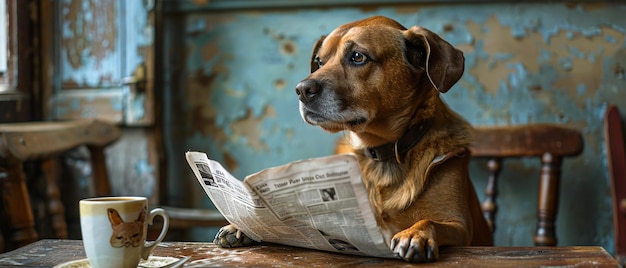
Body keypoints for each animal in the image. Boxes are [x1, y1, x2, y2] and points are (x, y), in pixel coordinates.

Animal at [214, 16, 492, 262]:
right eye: (319, 61)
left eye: (358, 57)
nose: (301, 90)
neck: (381, 151)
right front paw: (243, 224)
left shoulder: (459, 226)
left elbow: (430, 220)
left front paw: (415, 234)